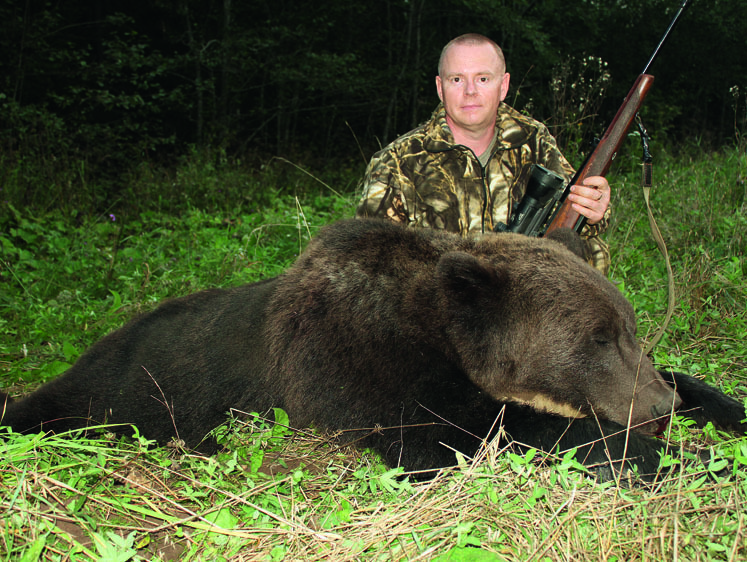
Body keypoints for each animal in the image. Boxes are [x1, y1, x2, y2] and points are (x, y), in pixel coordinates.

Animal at [1, 217, 747, 480]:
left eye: (629, 326)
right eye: (596, 338)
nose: (657, 406)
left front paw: (718, 412)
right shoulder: (365, 370)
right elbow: (471, 432)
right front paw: (680, 458)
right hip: (129, 390)